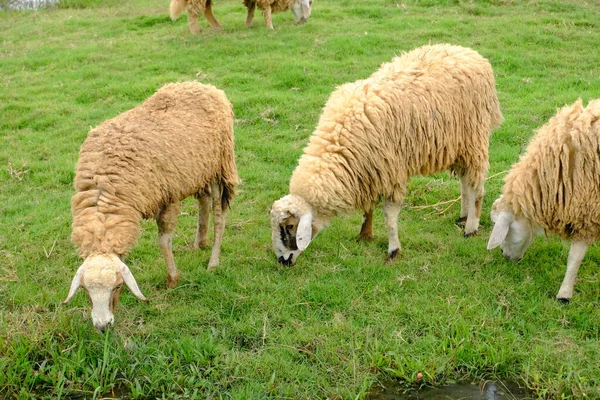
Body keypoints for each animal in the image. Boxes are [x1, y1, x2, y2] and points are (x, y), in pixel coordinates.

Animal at [61, 82, 239, 332]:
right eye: (86, 290)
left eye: (117, 286)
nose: (103, 326)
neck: (104, 189)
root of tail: (204, 86)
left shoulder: (168, 198)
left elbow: (164, 241)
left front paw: (172, 279)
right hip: (197, 170)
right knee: (203, 202)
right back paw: (199, 243)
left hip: (219, 165)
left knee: (219, 214)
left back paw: (213, 261)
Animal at [270, 43, 502, 264]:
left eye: (290, 226)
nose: (282, 261)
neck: (338, 142)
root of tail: (469, 52)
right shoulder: (368, 171)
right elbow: (368, 207)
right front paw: (365, 235)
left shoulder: (391, 172)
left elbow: (390, 217)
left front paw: (393, 250)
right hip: (458, 145)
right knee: (465, 180)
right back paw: (463, 216)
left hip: (474, 138)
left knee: (476, 186)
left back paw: (471, 226)